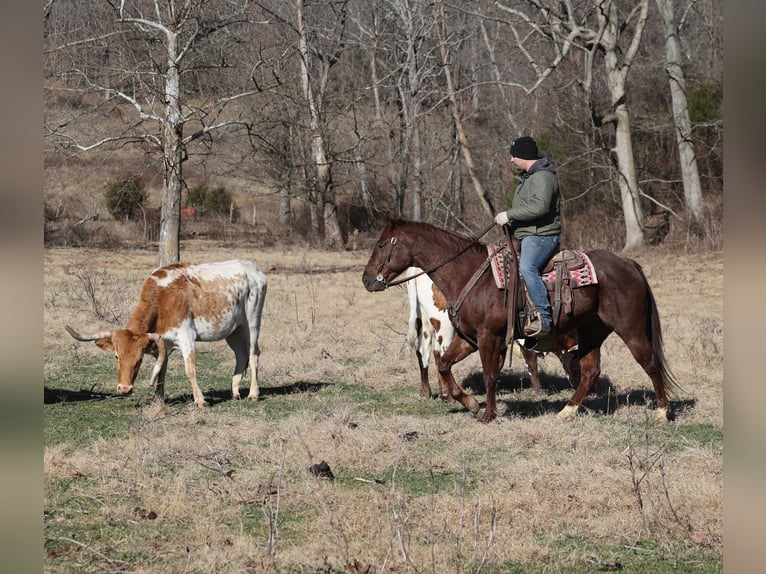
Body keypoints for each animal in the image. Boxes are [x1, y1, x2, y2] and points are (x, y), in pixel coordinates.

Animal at [362, 214, 678, 424]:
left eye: (381, 245)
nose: (366, 279)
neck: (470, 274)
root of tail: (629, 263)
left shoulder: (490, 338)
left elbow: (490, 375)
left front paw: (488, 414)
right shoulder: (470, 339)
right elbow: (445, 364)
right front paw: (469, 402)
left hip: (631, 329)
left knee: (650, 363)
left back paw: (662, 412)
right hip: (592, 332)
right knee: (590, 371)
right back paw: (567, 410)